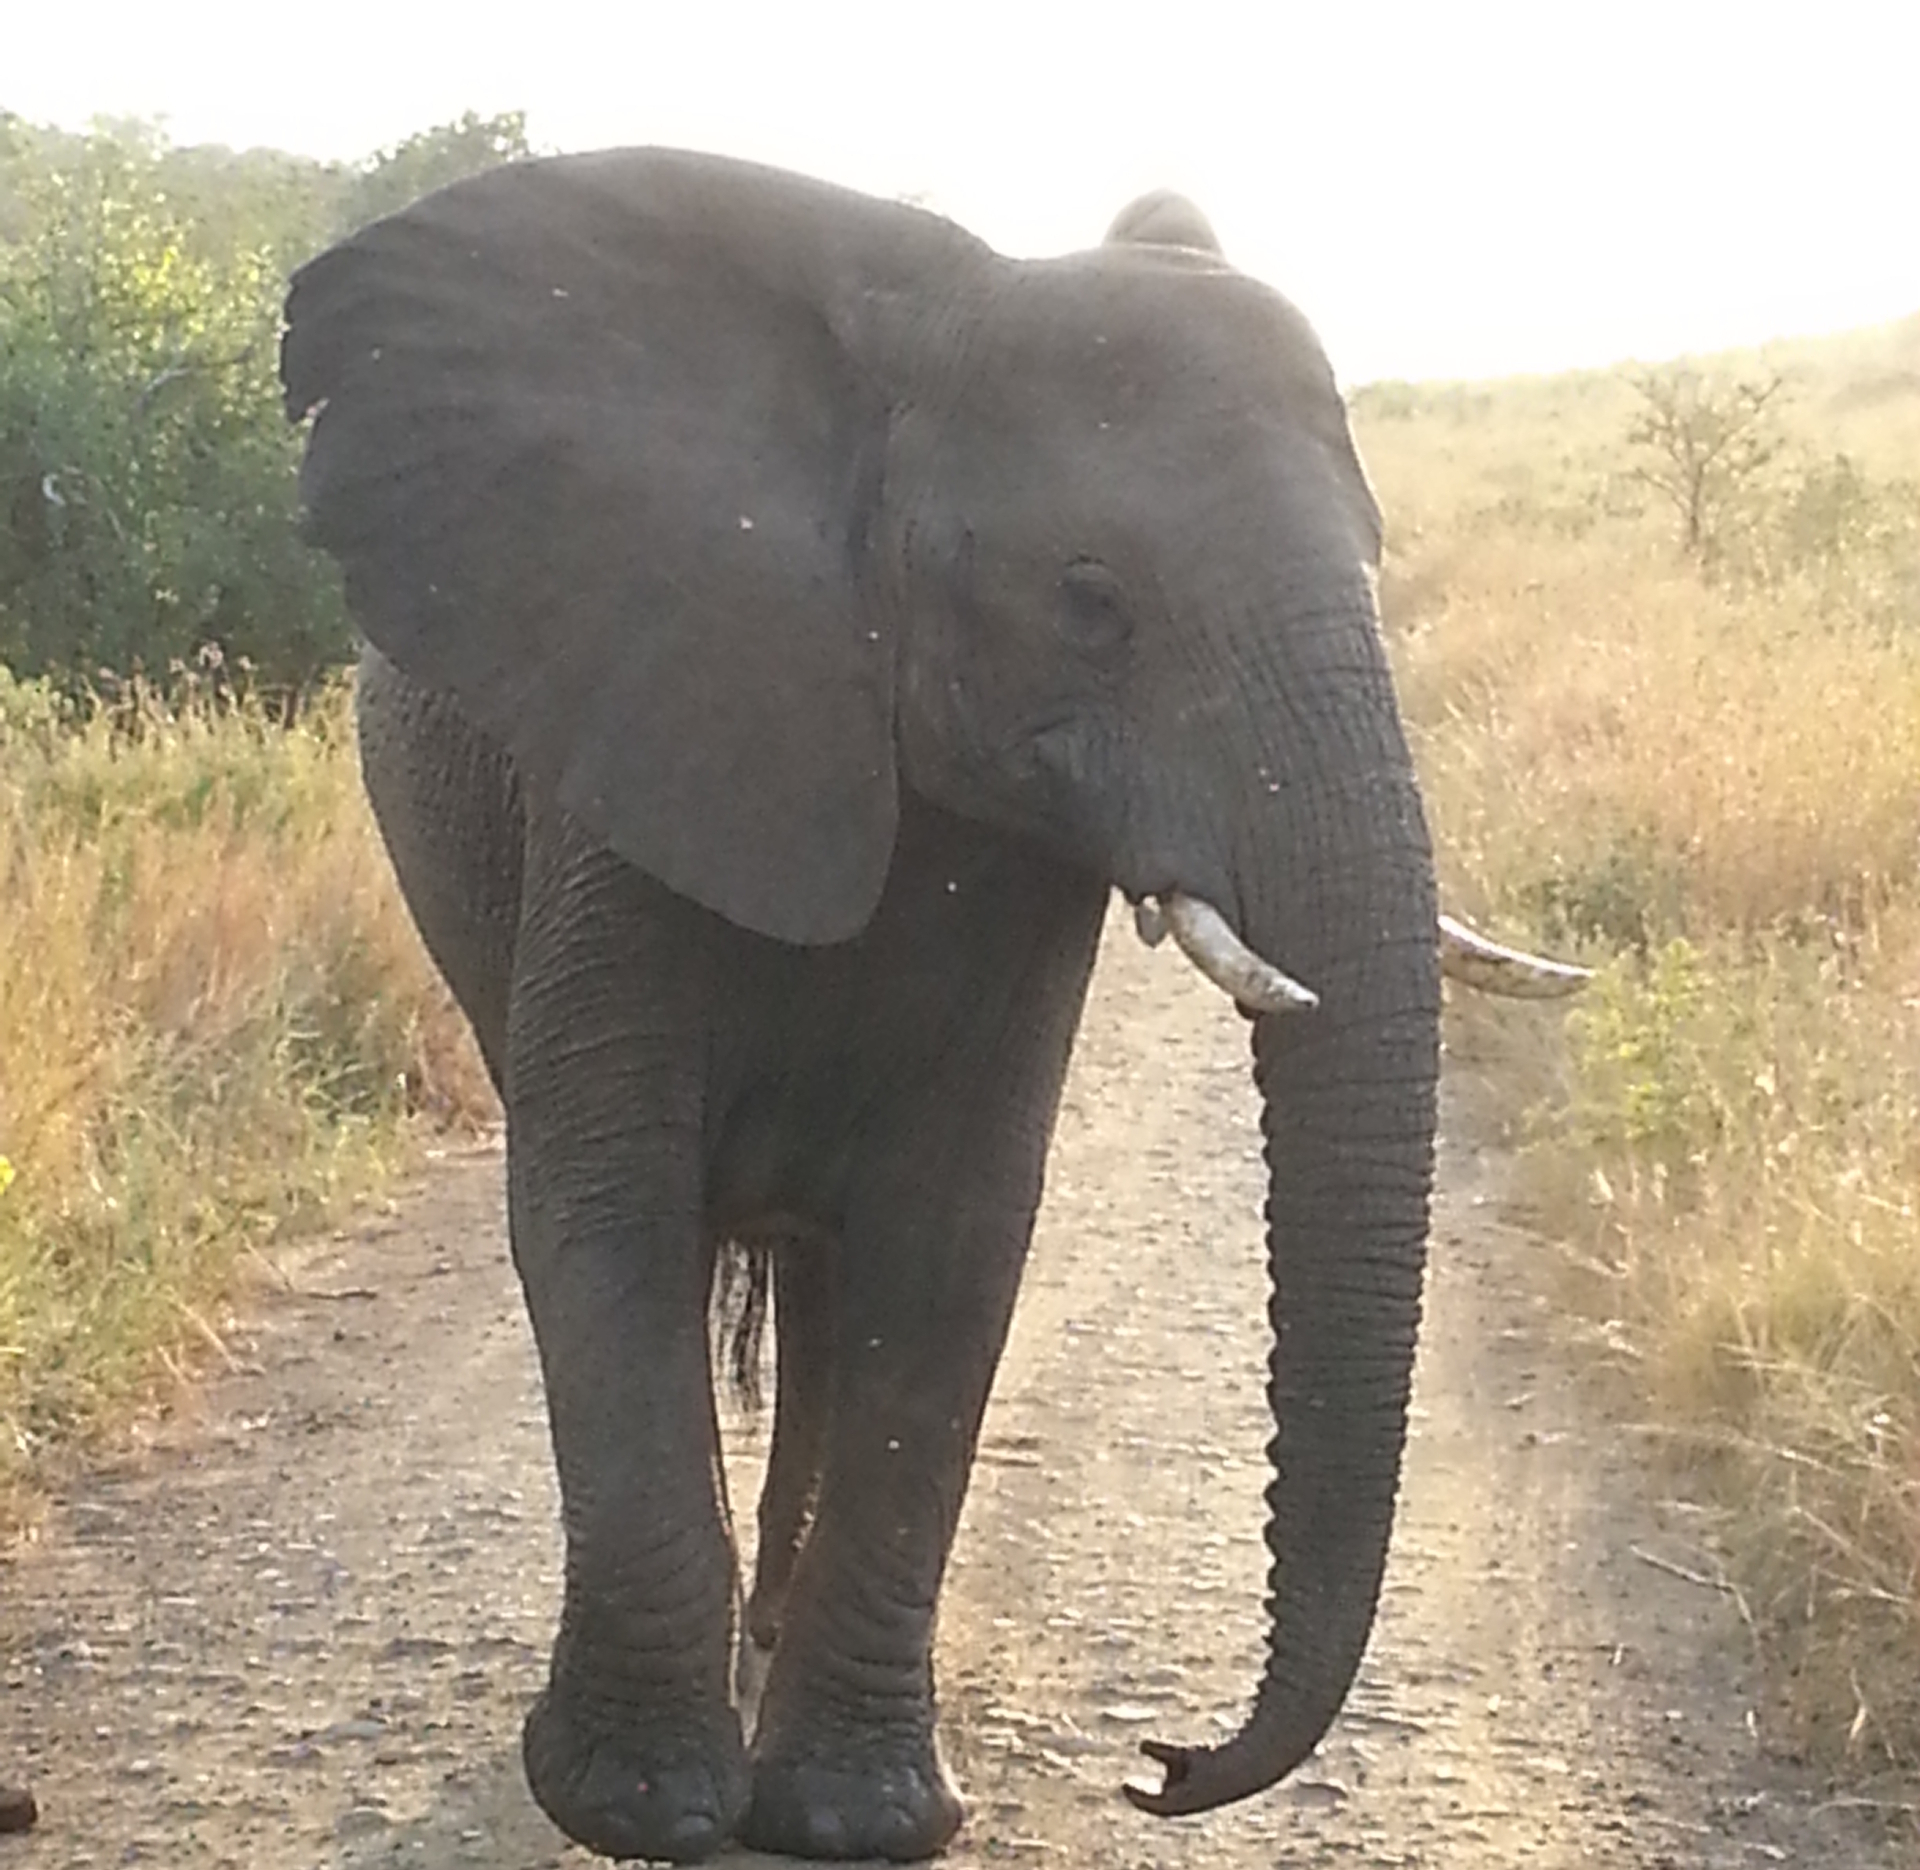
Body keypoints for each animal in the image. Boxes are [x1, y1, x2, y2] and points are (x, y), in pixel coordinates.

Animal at [281, 149, 1584, 1863]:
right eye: (1092, 600)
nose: (1163, 1762)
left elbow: (955, 1234)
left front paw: (852, 1817)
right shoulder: (630, 749)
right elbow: (605, 1210)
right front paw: (641, 1804)